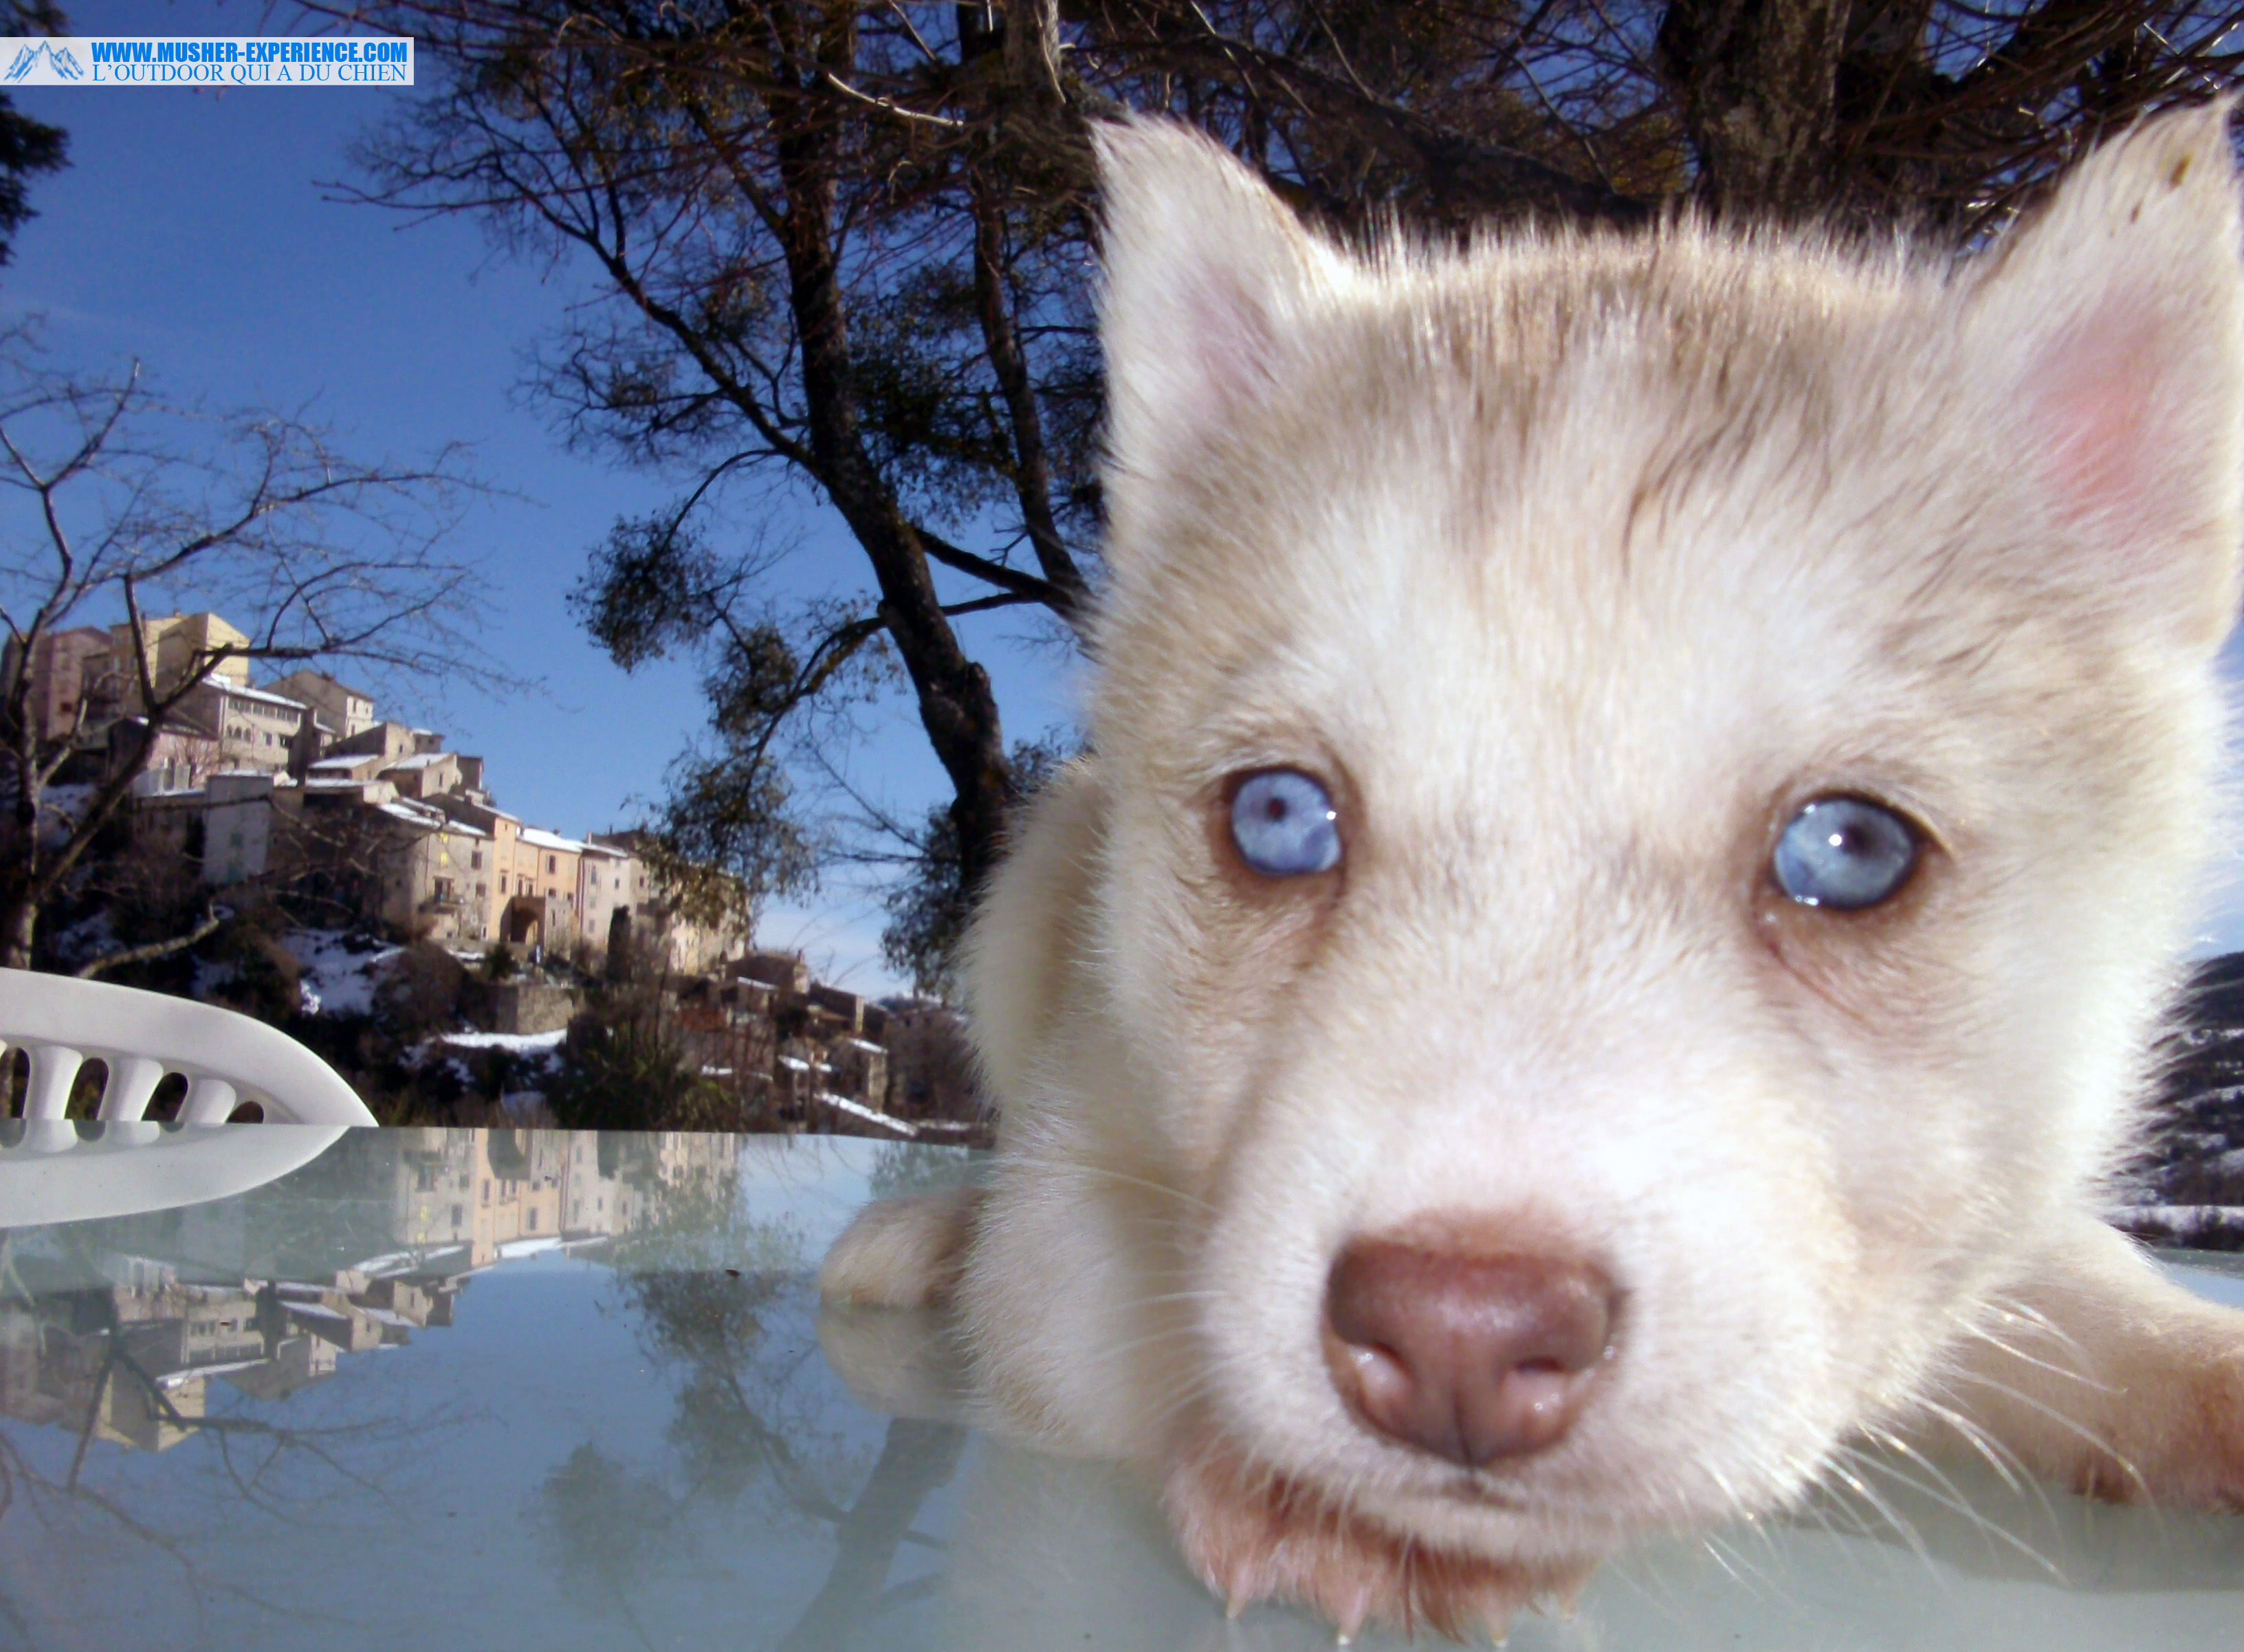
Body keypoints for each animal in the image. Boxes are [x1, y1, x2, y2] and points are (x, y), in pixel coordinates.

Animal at [821, 107, 2244, 1642]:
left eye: (1848, 851)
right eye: (1279, 817)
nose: (1456, 1333)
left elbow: (2082, 1277)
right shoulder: (1080, 1166)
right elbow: (1091, 1300)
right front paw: (1331, 1501)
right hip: (1030, 900)